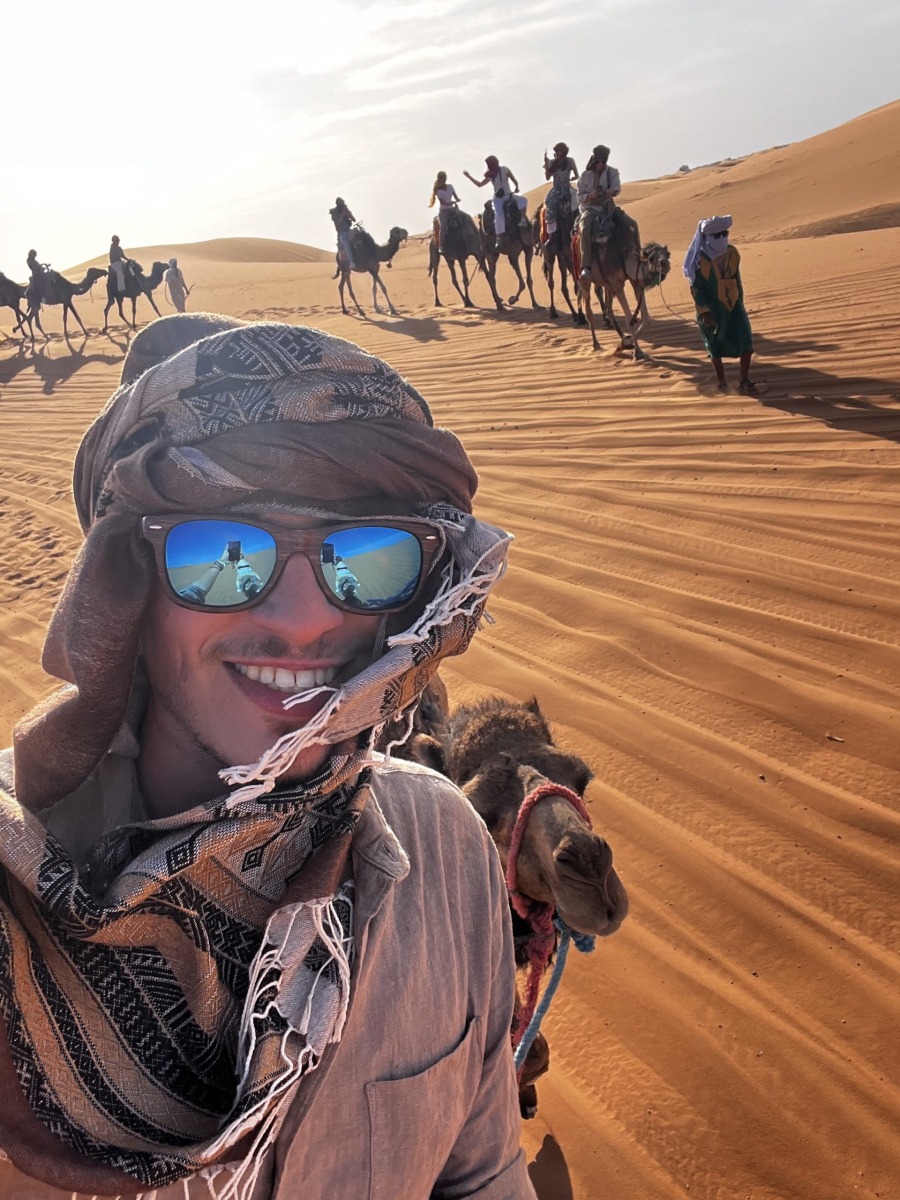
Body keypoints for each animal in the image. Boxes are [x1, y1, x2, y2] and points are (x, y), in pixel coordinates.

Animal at [580, 210, 672, 355]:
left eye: (668, 254)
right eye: (651, 258)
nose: (665, 264)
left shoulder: (635, 281)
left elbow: (647, 320)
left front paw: (625, 344)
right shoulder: (617, 284)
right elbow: (629, 320)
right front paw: (637, 352)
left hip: (606, 283)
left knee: (609, 311)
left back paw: (622, 337)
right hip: (583, 277)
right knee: (589, 310)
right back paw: (596, 344)